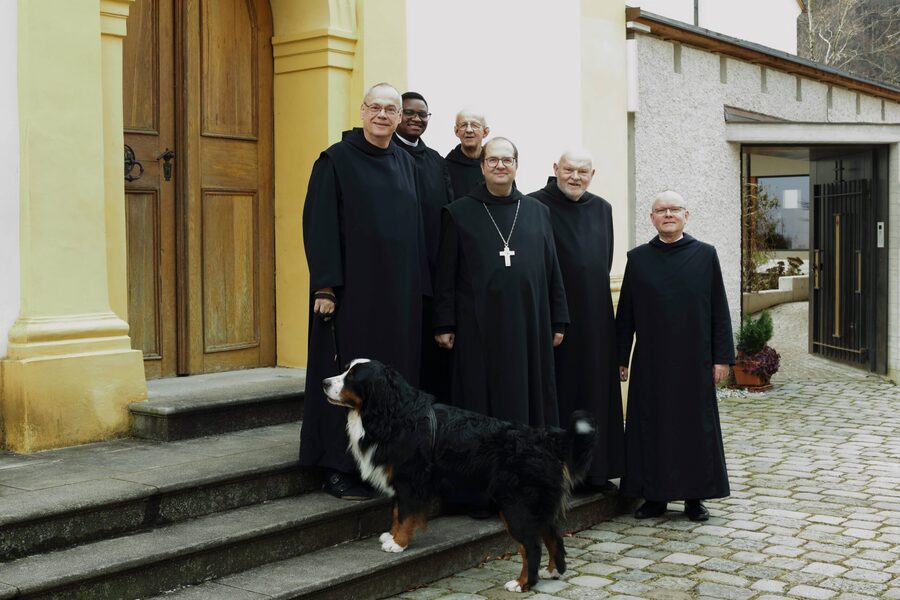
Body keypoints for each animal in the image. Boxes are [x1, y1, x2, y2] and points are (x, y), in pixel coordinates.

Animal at [324, 358, 596, 592]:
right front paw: (391, 535)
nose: (324, 382)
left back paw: (522, 584)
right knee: (555, 538)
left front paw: (398, 543)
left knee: (531, 547)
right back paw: (553, 571)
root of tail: (546, 440)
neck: (395, 414)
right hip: (540, 507)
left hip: (517, 507)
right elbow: (397, 511)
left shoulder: (409, 480)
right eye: (345, 369)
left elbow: (405, 514)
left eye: (352, 377)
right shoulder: (403, 482)